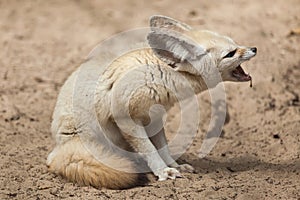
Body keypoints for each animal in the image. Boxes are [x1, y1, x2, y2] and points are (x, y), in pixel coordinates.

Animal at [47, 15, 255, 189]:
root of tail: (57, 148)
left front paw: (174, 165)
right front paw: (163, 171)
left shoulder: (154, 119)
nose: (254, 48)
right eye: (231, 53)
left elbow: (162, 148)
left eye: (234, 43)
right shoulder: (126, 119)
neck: (160, 72)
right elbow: (150, 149)